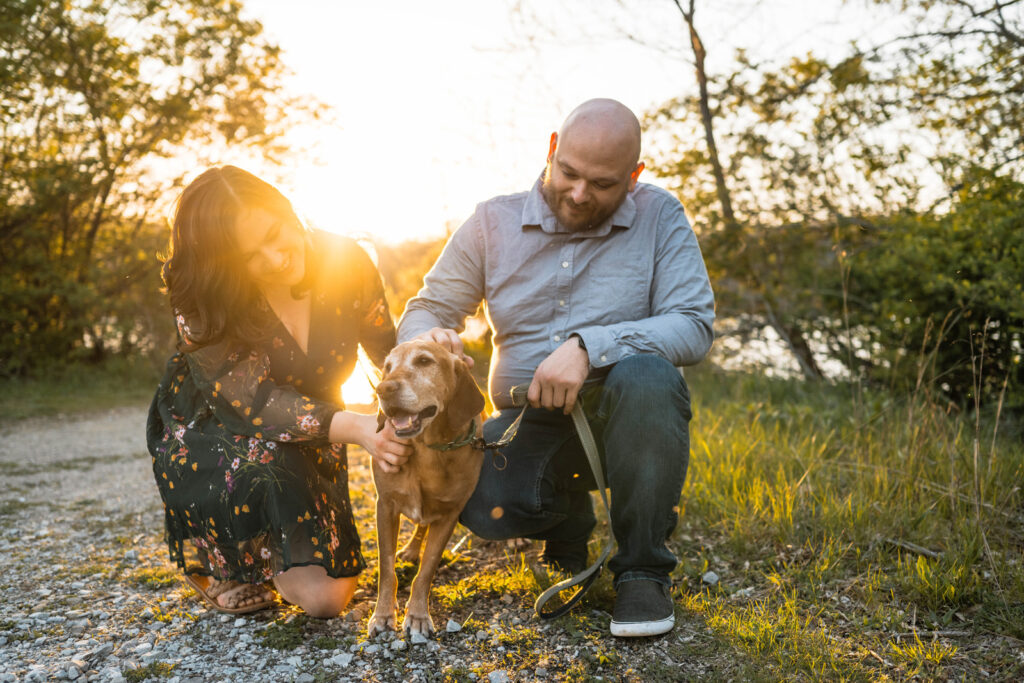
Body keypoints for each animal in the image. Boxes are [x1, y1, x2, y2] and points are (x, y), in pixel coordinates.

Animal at [366, 339, 485, 638]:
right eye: (387, 367)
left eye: (423, 361)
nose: (383, 389)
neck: (429, 450)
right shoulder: (385, 506)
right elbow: (386, 568)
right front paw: (383, 614)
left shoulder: (449, 515)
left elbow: (426, 570)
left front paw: (418, 615)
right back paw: (410, 549)